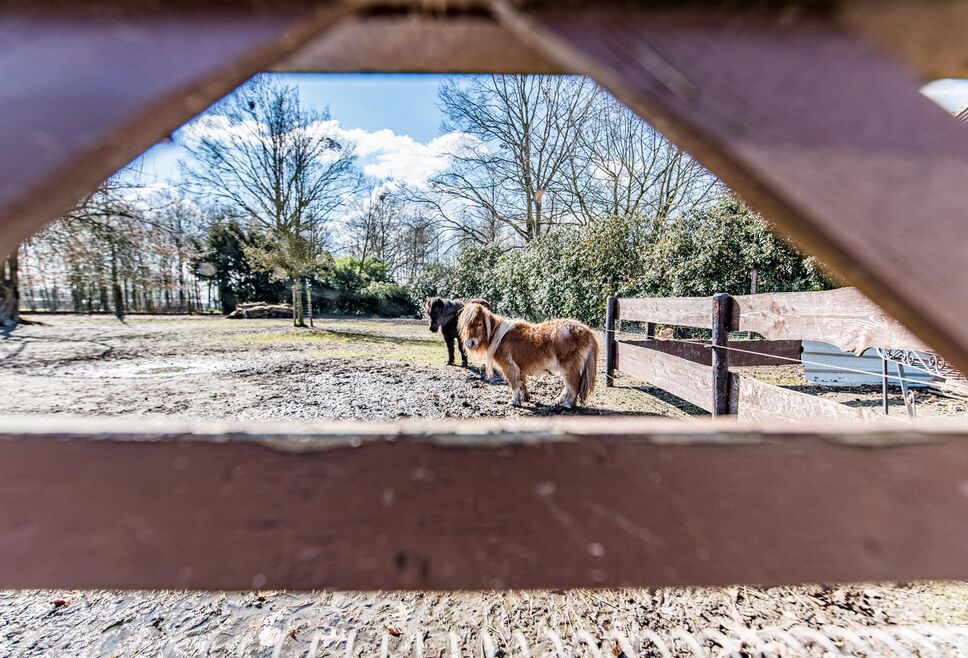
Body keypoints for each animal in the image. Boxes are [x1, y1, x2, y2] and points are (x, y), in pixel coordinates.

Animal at [456, 302, 596, 404]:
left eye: (480, 324)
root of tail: (587, 331)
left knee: (573, 384)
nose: (469, 343)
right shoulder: (519, 367)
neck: (499, 337)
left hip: (569, 366)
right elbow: (522, 383)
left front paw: (514, 402)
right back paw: (559, 400)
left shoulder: (509, 367)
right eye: (466, 325)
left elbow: (514, 384)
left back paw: (568, 404)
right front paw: (525, 398)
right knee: (569, 385)